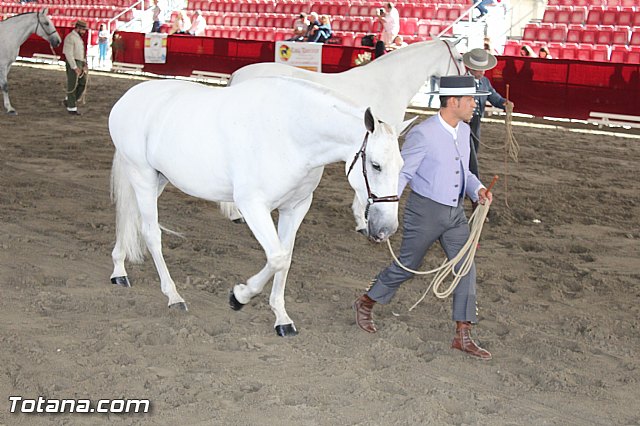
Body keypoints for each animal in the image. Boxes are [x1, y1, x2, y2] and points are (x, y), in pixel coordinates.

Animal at [109, 77, 409, 336]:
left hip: (156, 179)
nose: (386, 229)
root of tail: (127, 99)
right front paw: (238, 297)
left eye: (401, 166)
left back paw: (119, 272)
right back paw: (173, 296)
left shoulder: (296, 207)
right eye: (375, 165)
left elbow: (286, 258)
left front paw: (282, 319)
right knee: (151, 234)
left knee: (129, 217)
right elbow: (276, 257)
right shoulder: (252, 205)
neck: (290, 133)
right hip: (142, 175)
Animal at [221, 38, 464, 232]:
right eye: (461, 58)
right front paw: (362, 222)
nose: (469, 82)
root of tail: (237, 75)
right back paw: (236, 215)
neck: (389, 83)